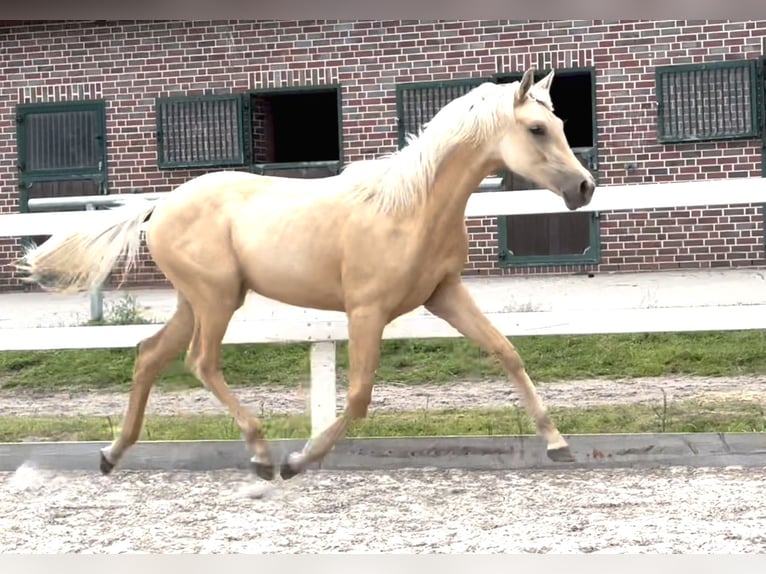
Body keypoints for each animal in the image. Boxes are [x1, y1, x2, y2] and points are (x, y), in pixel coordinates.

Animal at [16, 68, 592, 482]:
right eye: (537, 129)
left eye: (563, 126)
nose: (584, 188)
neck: (412, 208)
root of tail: (161, 205)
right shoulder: (367, 311)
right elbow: (358, 395)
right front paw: (300, 461)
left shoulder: (444, 294)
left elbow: (506, 352)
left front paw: (559, 445)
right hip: (216, 299)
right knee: (200, 361)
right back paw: (262, 455)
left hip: (195, 301)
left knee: (150, 354)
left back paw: (112, 454)